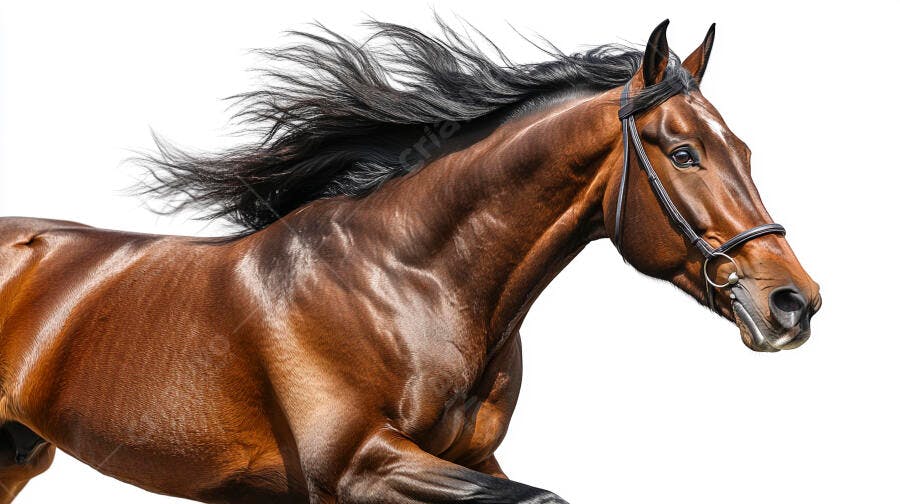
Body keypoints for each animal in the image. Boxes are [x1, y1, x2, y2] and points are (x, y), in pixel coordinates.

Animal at [0, 19, 820, 503]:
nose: (794, 302)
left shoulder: (469, 458)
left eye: (744, 151)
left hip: (17, 454)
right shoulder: (358, 465)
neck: (407, 285)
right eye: (683, 154)